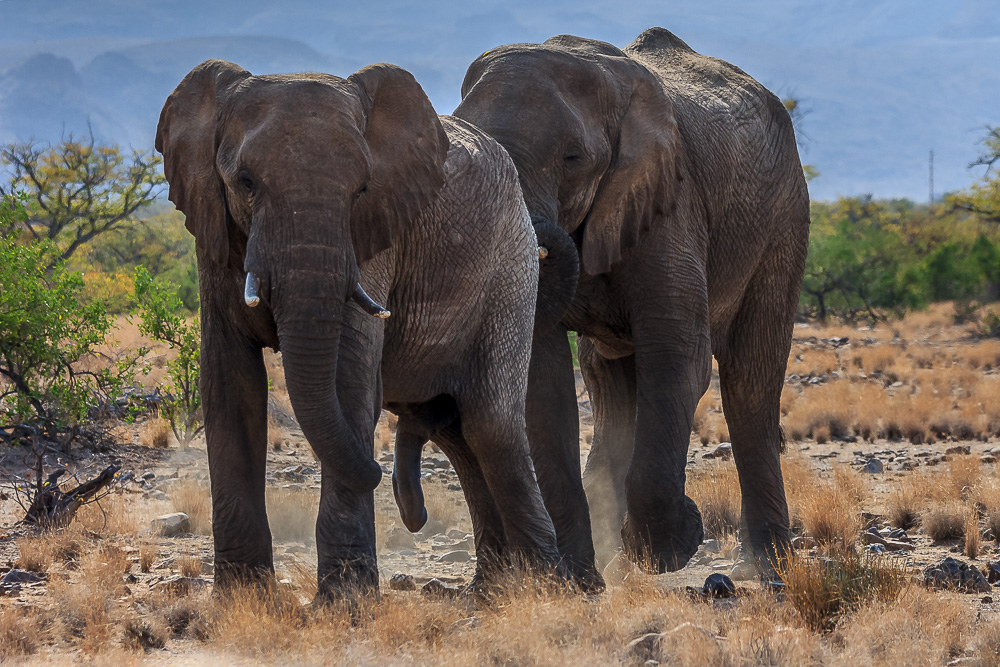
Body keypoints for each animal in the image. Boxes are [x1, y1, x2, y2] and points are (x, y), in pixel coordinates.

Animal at [154, 58, 564, 600]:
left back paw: (551, 587)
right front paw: (242, 598)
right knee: (458, 431)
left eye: (362, 190)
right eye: (245, 182)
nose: (413, 516)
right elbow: (230, 386)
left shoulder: (373, 239)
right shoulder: (214, 234)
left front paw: (344, 602)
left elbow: (349, 382)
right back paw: (493, 589)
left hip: (512, 267)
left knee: (491, 424)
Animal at [456, 28, 812, 576]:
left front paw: (671, 547)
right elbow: (542, 379)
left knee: (750, 376)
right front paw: (577, 580)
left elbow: (676, 354)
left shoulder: (670, 200)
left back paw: (767, 562)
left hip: (784, 218)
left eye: (572, 158)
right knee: (609, 378)